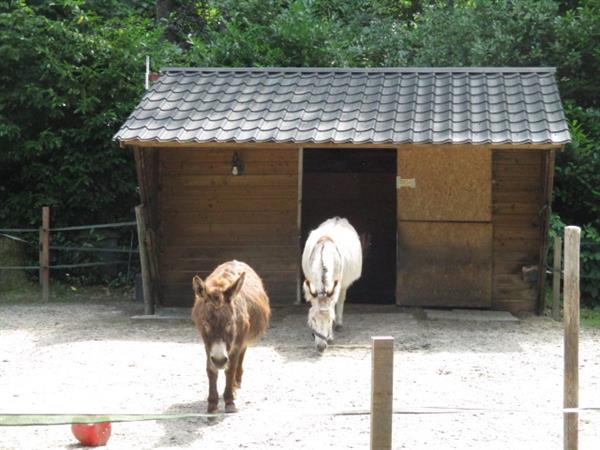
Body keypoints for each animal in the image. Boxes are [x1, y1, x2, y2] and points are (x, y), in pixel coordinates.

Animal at [300, 218, 360, 352]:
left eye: (329, 320)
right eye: (313, 319)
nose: (321, 347)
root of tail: (337, 218)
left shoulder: (335, 285)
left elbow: (333, 306)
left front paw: (331, 335)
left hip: (343, 284)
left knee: (341, 300)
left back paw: (339, 324)